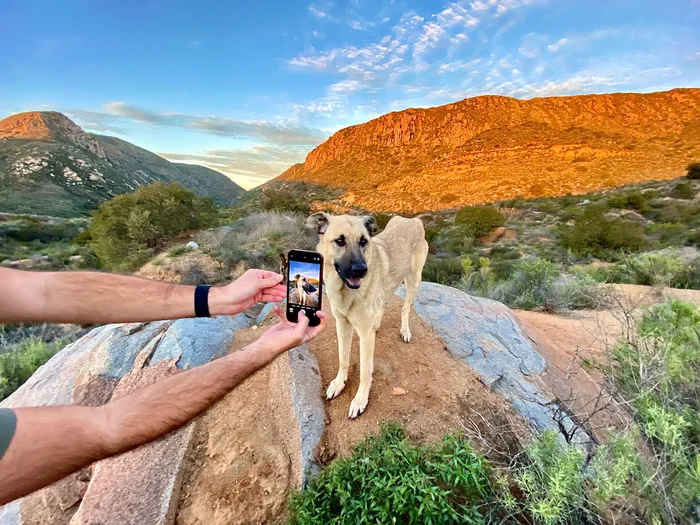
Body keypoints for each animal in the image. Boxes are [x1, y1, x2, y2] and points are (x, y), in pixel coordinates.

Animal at [308, 213, 430, 418]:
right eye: (340, 241)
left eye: (363, 241)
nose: (361, 270)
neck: (345, 290)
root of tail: (412, 219)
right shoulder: (342, 324)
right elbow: (343, 358)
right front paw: (339, 383)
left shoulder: (364, 335)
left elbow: (365, 372)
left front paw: (360, 400)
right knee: (384, 302)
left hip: (414, 279)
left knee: (406, 307)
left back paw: (405, 330)